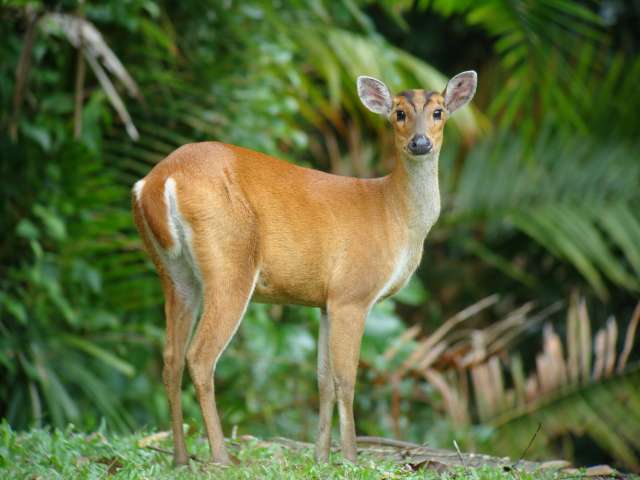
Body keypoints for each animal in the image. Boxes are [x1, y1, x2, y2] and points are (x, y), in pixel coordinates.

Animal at [132, 70, 478, 464]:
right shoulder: (352, 294)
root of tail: (157, 181)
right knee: (201, 356)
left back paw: (180, 458)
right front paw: (350, 457)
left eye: (438, 112)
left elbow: (323, 378)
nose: (420, 143)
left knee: (170, 358)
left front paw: (321, 457)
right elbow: (346, 378)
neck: (393, 213)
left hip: (173, 272)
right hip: (230, 259)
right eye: (399, 113)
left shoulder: (325, 301)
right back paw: (221, 458)